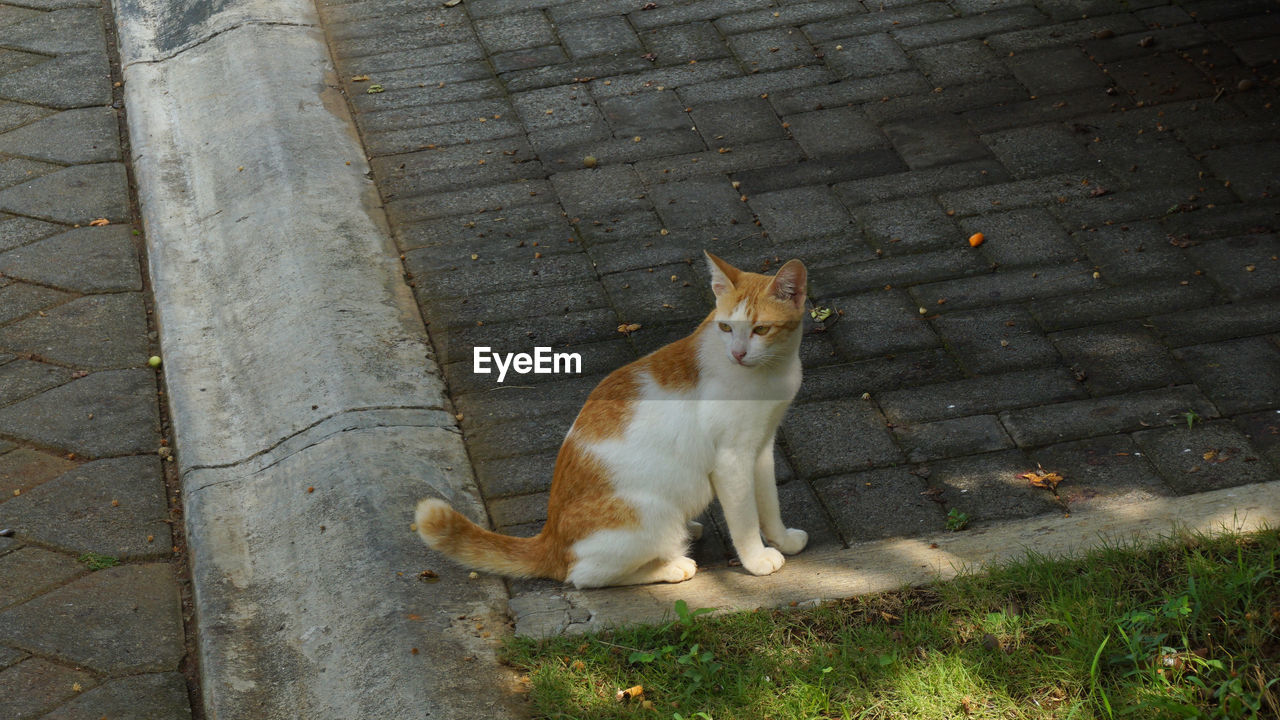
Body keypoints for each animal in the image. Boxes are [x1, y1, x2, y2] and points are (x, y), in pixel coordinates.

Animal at [414, 249, 803, 586]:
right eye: (725, 328)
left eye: (761, 330)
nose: (737, 353)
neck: (771, 373)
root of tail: (550, 537)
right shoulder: (731, 461)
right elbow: (745, 518)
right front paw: (756, 559)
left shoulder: (761, 448)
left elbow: (768, 503)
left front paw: (782, 539)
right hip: (649, 514)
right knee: (584, 576)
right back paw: (672, 565)